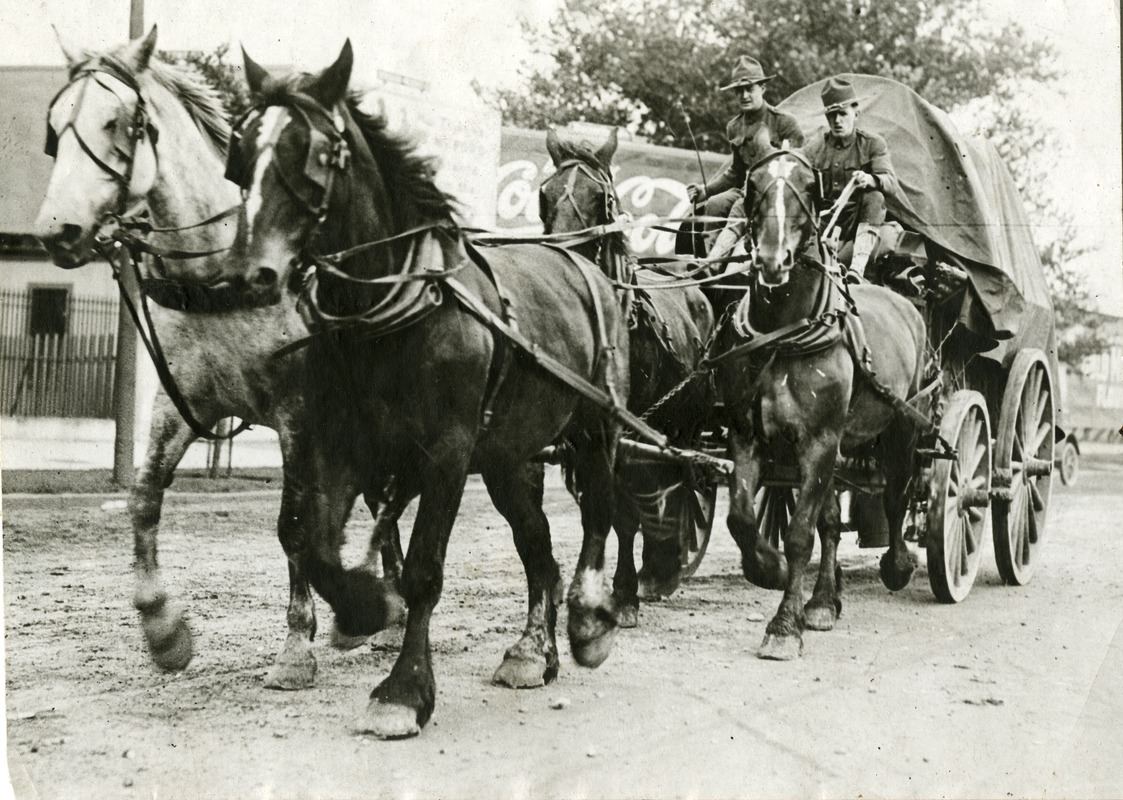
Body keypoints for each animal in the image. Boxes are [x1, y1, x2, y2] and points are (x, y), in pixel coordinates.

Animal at [227, 43, 633, 741]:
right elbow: (312, 545)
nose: (252, 272)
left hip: (594, 428)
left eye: (312, 151)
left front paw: (404, 690)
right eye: (243, 151)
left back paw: (588, 618)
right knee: (537, 548)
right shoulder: (337, 444)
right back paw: (533, 652)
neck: (388, 314)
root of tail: (582, 262)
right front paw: (363, 611)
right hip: (507, 457)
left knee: (599, 513)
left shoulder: (446, 451)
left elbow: (422, 569)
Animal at [539, 128, 714, 624]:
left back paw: (664, 565)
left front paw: (624, 593)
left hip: (687, 419)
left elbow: (624, 512)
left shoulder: (623, 431)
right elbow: (598, 509)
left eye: (600, 197)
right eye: (545, 194)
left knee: (683, 479)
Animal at [709, 147, 929, 660]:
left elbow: (799, 536)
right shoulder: (747, 435)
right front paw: (768, 568)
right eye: (754, 186)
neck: (782, 334)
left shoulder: (819, 441)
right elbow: (742, 517)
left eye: (810, 188)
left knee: (896, 496)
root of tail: (905, 301)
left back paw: (898, 564)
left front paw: (783, 627)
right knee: (830, 520)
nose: (773, 260)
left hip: (901, 427)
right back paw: (824, 601)